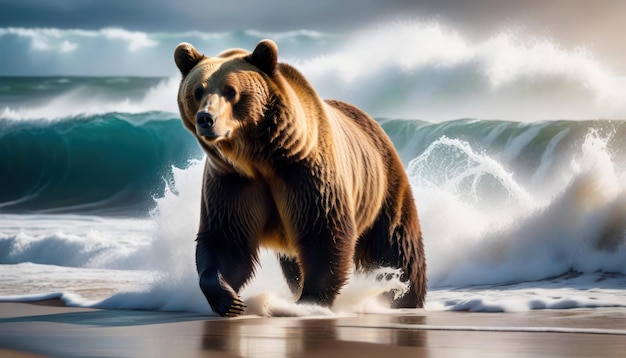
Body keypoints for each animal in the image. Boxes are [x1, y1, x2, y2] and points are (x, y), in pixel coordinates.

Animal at [173, 39, 424, 318]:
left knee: (398, 249)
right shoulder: (232, 181)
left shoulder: (305, 175)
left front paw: (310, 301)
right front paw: (230, 299)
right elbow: (226, 240)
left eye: (230, 91)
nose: (206, 118)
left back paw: (405, 297)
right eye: (197, 91)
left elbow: (323, 233)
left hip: (383, 188)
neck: (259, 157)